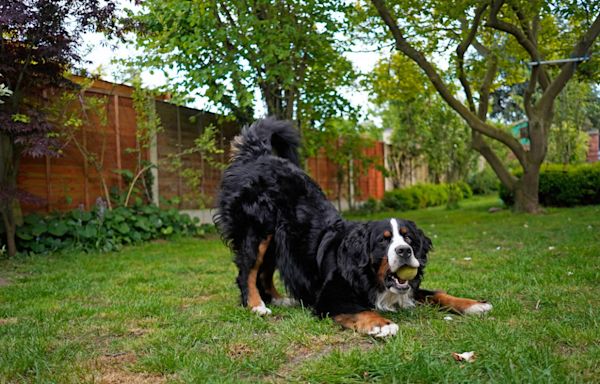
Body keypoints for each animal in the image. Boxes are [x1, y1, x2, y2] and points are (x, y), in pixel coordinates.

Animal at [213, 118, 490, 336]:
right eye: (383, 240)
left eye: (409, 239)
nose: (404, 251)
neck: (368, 275)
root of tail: (258, 155)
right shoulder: (330, 296)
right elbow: (360, 310)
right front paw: (381, 324)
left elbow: (437, 293)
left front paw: (473, 303)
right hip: (258, 231)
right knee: (248, 272)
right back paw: (257, 306)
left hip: (279, 240)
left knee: (264, 272)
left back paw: (282, 300)